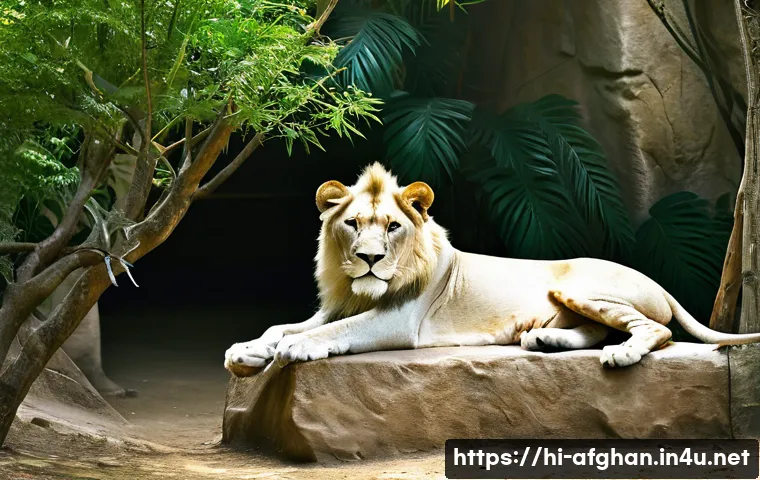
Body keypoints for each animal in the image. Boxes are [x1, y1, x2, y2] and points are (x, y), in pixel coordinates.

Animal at [224, 163, 760, 376]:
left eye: (392, 226)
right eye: (353, 223)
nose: (371, 259)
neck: (357, 288)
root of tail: (661, 284)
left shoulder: (398, 320)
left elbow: (328, 332)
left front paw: (294, 349)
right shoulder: (333, 306)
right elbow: (282, 325)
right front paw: (245, 350)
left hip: (583, 287)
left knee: (653, 330)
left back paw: (622, 355)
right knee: (599, 330)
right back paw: (543, 339)